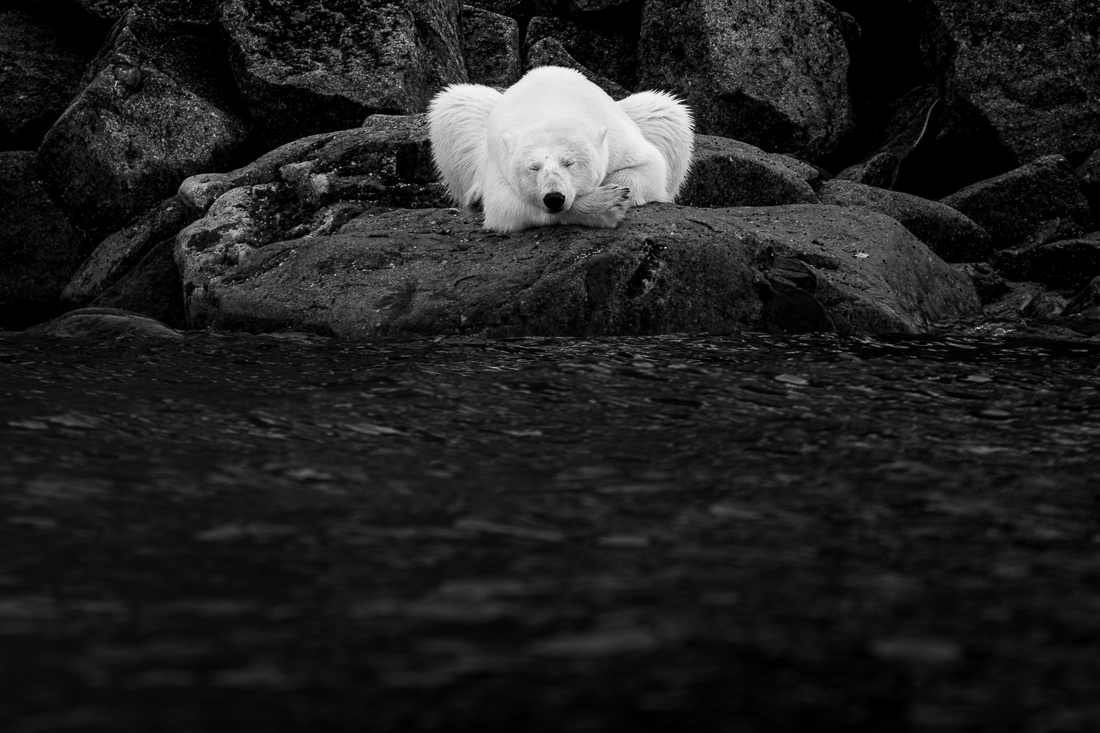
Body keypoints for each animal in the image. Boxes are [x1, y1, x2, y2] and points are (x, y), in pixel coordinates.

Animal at [428, 66, 694, 233]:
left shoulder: (617, 137)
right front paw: (605, 203)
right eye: (533, 168)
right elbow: (503, 204)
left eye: (569, 162)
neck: (554, 108)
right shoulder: (501, 158)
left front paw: (618, 191)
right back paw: (473, 196)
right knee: (457, 102)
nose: (554, 197)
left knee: (666, 110)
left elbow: (649, 166)